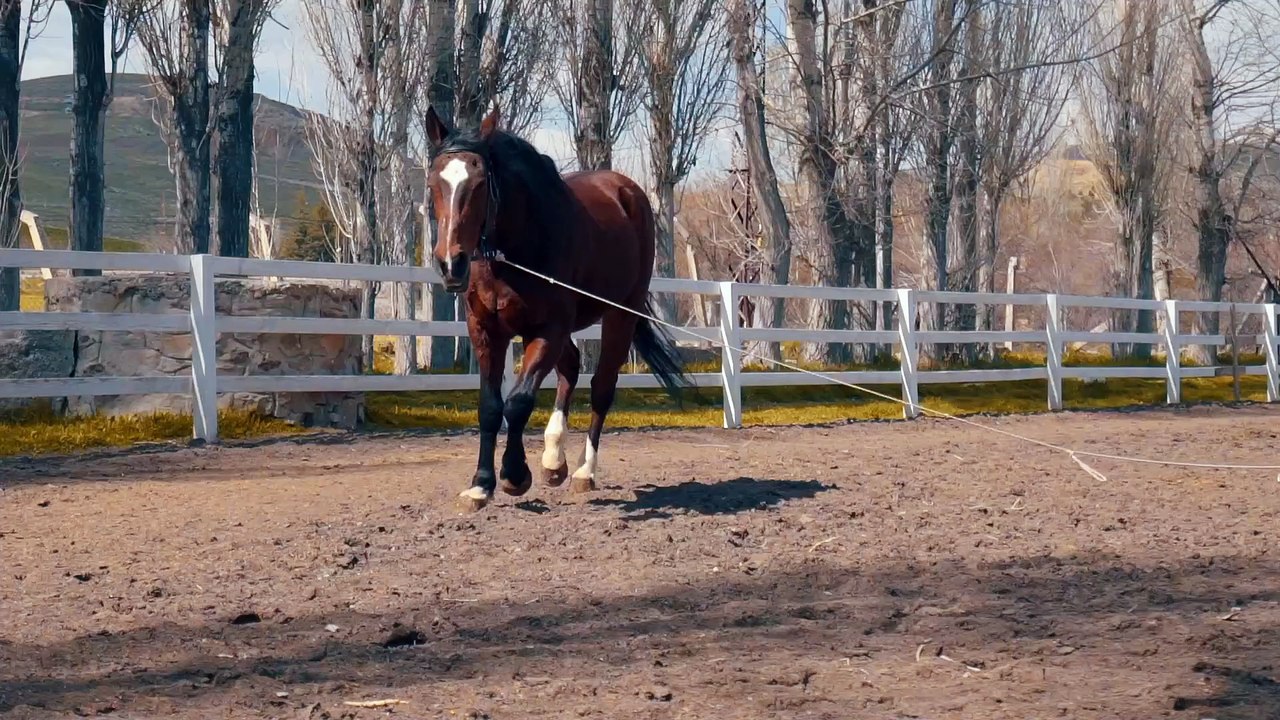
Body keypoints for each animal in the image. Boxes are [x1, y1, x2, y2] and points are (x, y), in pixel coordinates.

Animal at [423, 105, 689, 513]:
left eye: (481, 183)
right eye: (433, 183)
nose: (451, 264)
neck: (514, 252)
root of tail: (625, 190)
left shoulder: (547, 331)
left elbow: (517, 403)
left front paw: (515, 476)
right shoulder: (485, 330)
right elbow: (490, 406)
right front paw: (481, 485)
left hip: (620, 316)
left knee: (601, 387)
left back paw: (582, 472)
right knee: (572, 367)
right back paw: (553, 460)